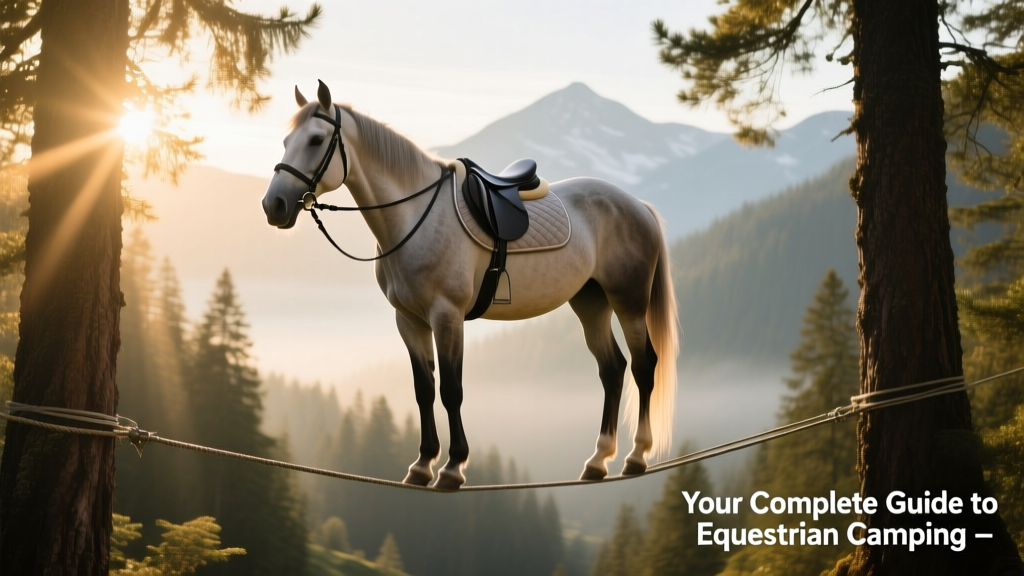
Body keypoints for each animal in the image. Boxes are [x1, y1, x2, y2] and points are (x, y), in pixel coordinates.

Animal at [261, 81, 678, 490]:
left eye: (316, 140)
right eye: (286, 141)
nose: (273, 205)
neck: (417, 216)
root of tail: (637, 205)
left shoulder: (447, 317)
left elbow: (451, 390)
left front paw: (452, 467)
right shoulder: (409, 321)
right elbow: (424, 390)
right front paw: (423, 464)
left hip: (628, 302)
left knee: (643, 365)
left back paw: (636, 456)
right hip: (591, 303)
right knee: (612, 368)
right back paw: (598, 460)